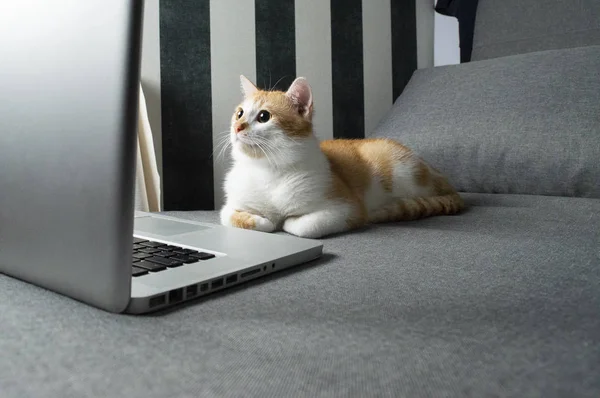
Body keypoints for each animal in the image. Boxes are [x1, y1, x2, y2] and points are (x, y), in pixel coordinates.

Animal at [220, 75, 464, 239]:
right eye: (239, 113)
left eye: (264, 116)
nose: (237, 127)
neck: (267, 170)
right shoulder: (230, 206)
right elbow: (232, 217)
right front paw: (262, 220)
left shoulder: (346, 208)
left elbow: (301, 226)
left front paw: (285, 221)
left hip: (404, 172)